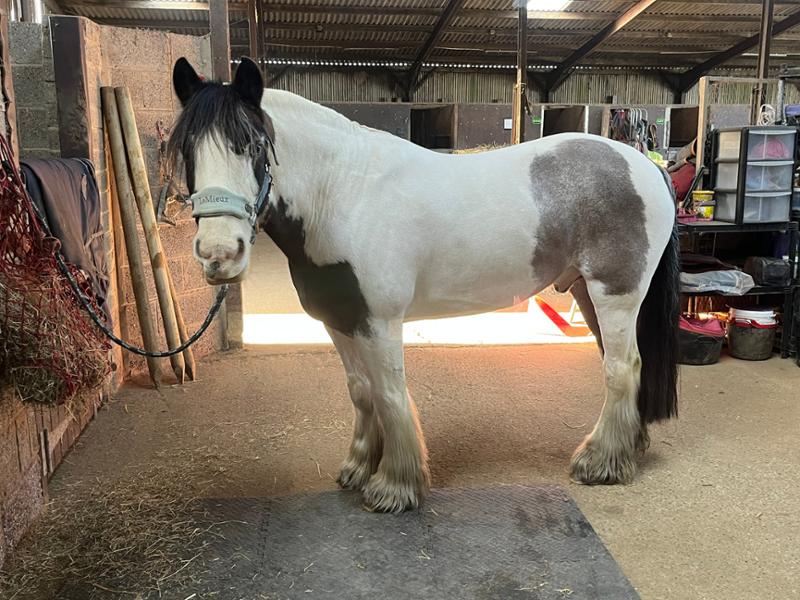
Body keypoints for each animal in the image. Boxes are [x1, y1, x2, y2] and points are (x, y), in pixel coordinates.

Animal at [169, 57, 680, 514]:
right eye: (188, 151)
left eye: (254, 147)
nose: (220, 254)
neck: (344, 193)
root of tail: (646, 165)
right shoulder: (340, 320)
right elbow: (361, 391)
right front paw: (359, 467)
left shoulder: (379, 323)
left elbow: (390, 395)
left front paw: (394, 486)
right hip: (586, 293)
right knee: (622, 364)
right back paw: (627, 448)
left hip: (615, 293)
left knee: (620, 368)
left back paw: (600, 462)